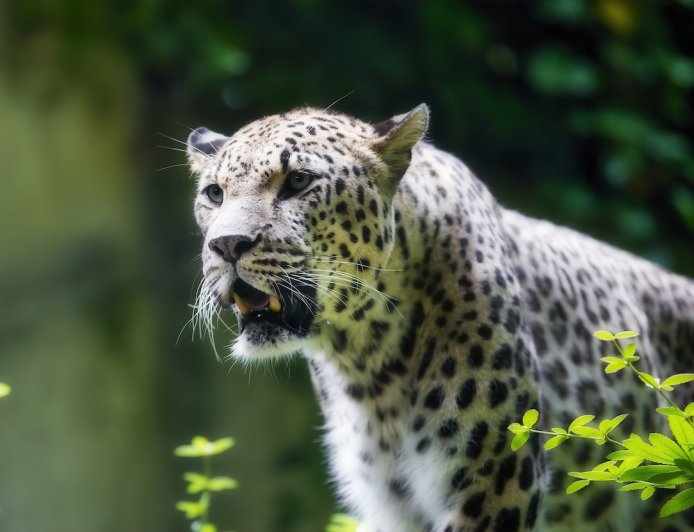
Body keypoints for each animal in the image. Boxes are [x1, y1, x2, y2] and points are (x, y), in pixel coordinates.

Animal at [186, 104, 694, 532]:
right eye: (214, 194)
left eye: (297, 181)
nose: (226, 245)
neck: (367, 358)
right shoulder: (390, 504)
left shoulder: (495, 484)